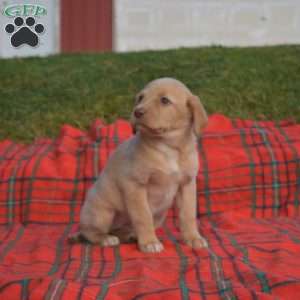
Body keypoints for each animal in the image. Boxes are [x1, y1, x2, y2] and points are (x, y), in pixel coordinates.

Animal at [69, 78, 207, 253]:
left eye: (164, 100)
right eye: (140, 98)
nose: (137, 112)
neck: (168, 147)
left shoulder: (187, 184)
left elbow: (188, 214)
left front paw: (193, 238)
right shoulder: (135, 185)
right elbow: (143, 216)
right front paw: (149, 242)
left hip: (159, 215)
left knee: (122, 230)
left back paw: (130, 235)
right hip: (102, 213)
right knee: (89, 232)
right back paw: (106, 238)